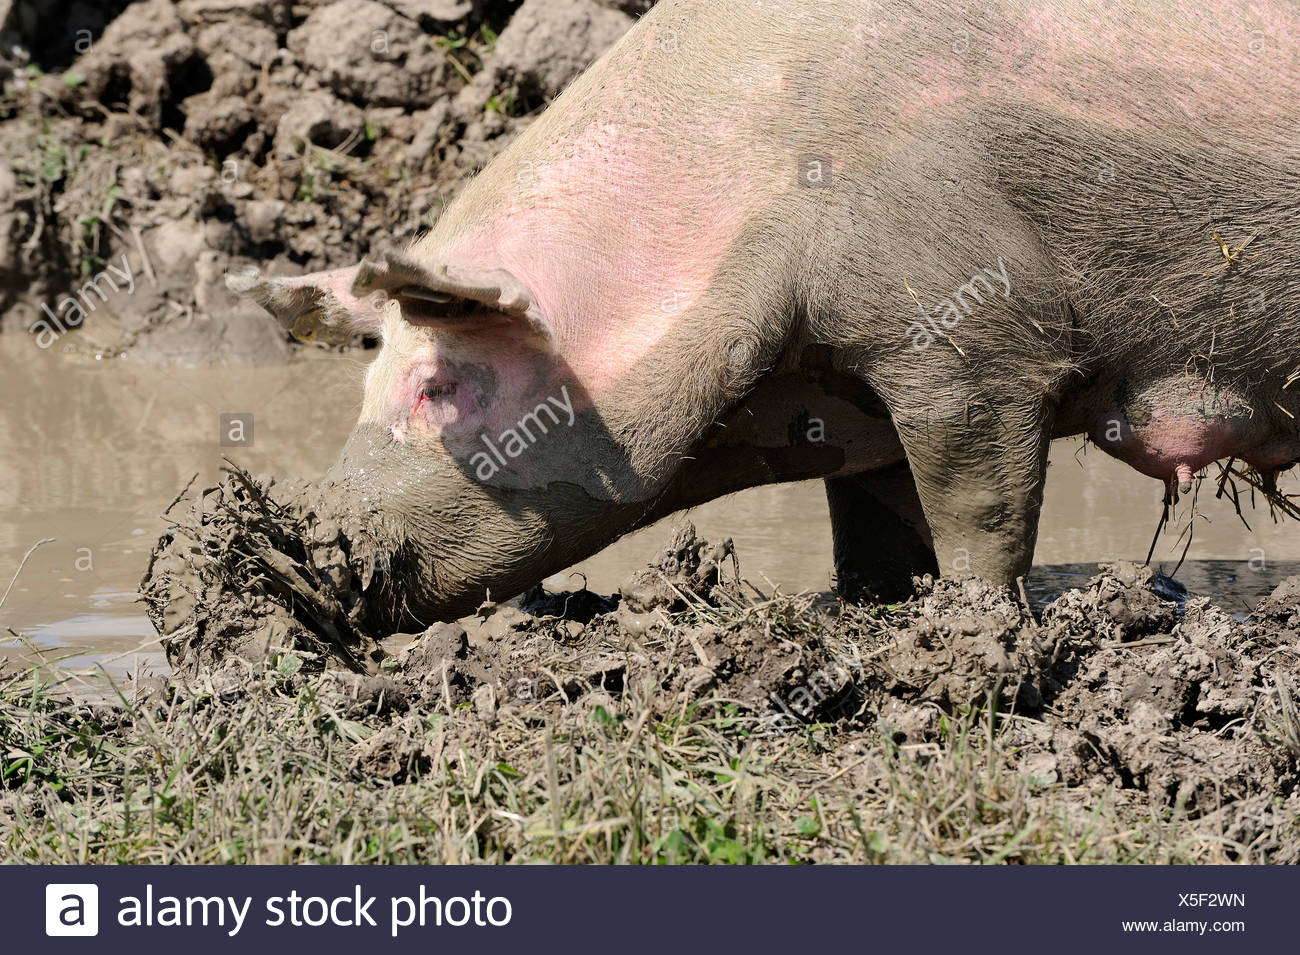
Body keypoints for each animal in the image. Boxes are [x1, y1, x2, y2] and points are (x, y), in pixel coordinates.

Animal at [230, 0, 1300, 624]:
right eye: (365, 381)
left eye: (437, 385)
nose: (303, 535)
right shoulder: (859, 407)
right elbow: (876, 529)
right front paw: (868, 608)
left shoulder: (970, 340)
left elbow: (978, 504)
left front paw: (979, 629)